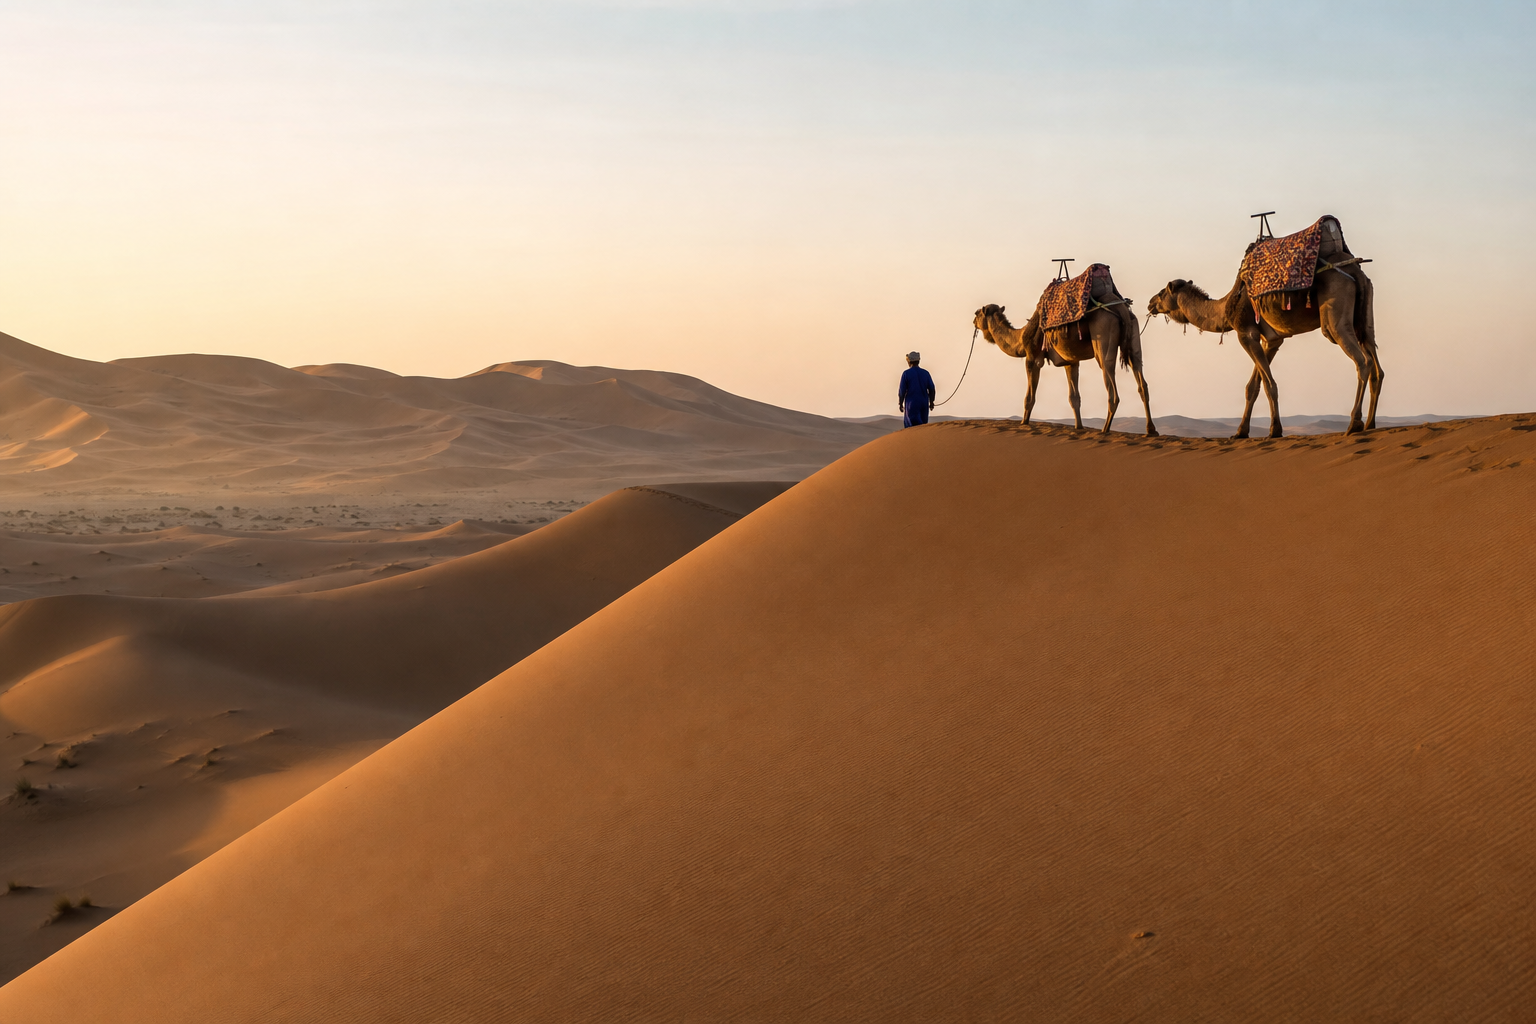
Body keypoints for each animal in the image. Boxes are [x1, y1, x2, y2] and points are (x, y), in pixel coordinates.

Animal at [973, 294, 1156, 436]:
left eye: (977, 313)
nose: (973, 321)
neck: (1021, 337)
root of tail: (1122, 310)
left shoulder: (1032, 357)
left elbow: (1029, 397)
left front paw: (1024, 423)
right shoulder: (1071, 362)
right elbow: (1074, 398)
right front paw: (1079, 427)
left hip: (1103, 338)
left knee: (1111, 384)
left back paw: (1105, 430)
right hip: (1134, 339)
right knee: (1141, 381)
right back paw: (1151, 430)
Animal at [1146, 219, 1382, 438]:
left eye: (1163, 292)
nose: (1150, 303)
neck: (1228, 304)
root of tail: (1355, 271)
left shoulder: (1246, 333)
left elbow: (1269, 385)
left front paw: (1274, 430)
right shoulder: (1272, 340)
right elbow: (1253, 387)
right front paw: (1241, 432)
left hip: (1335, 313)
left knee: (1361, 360)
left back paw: (1354, 424)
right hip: (1365, 317)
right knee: (1376, 364)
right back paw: (1370, 424)